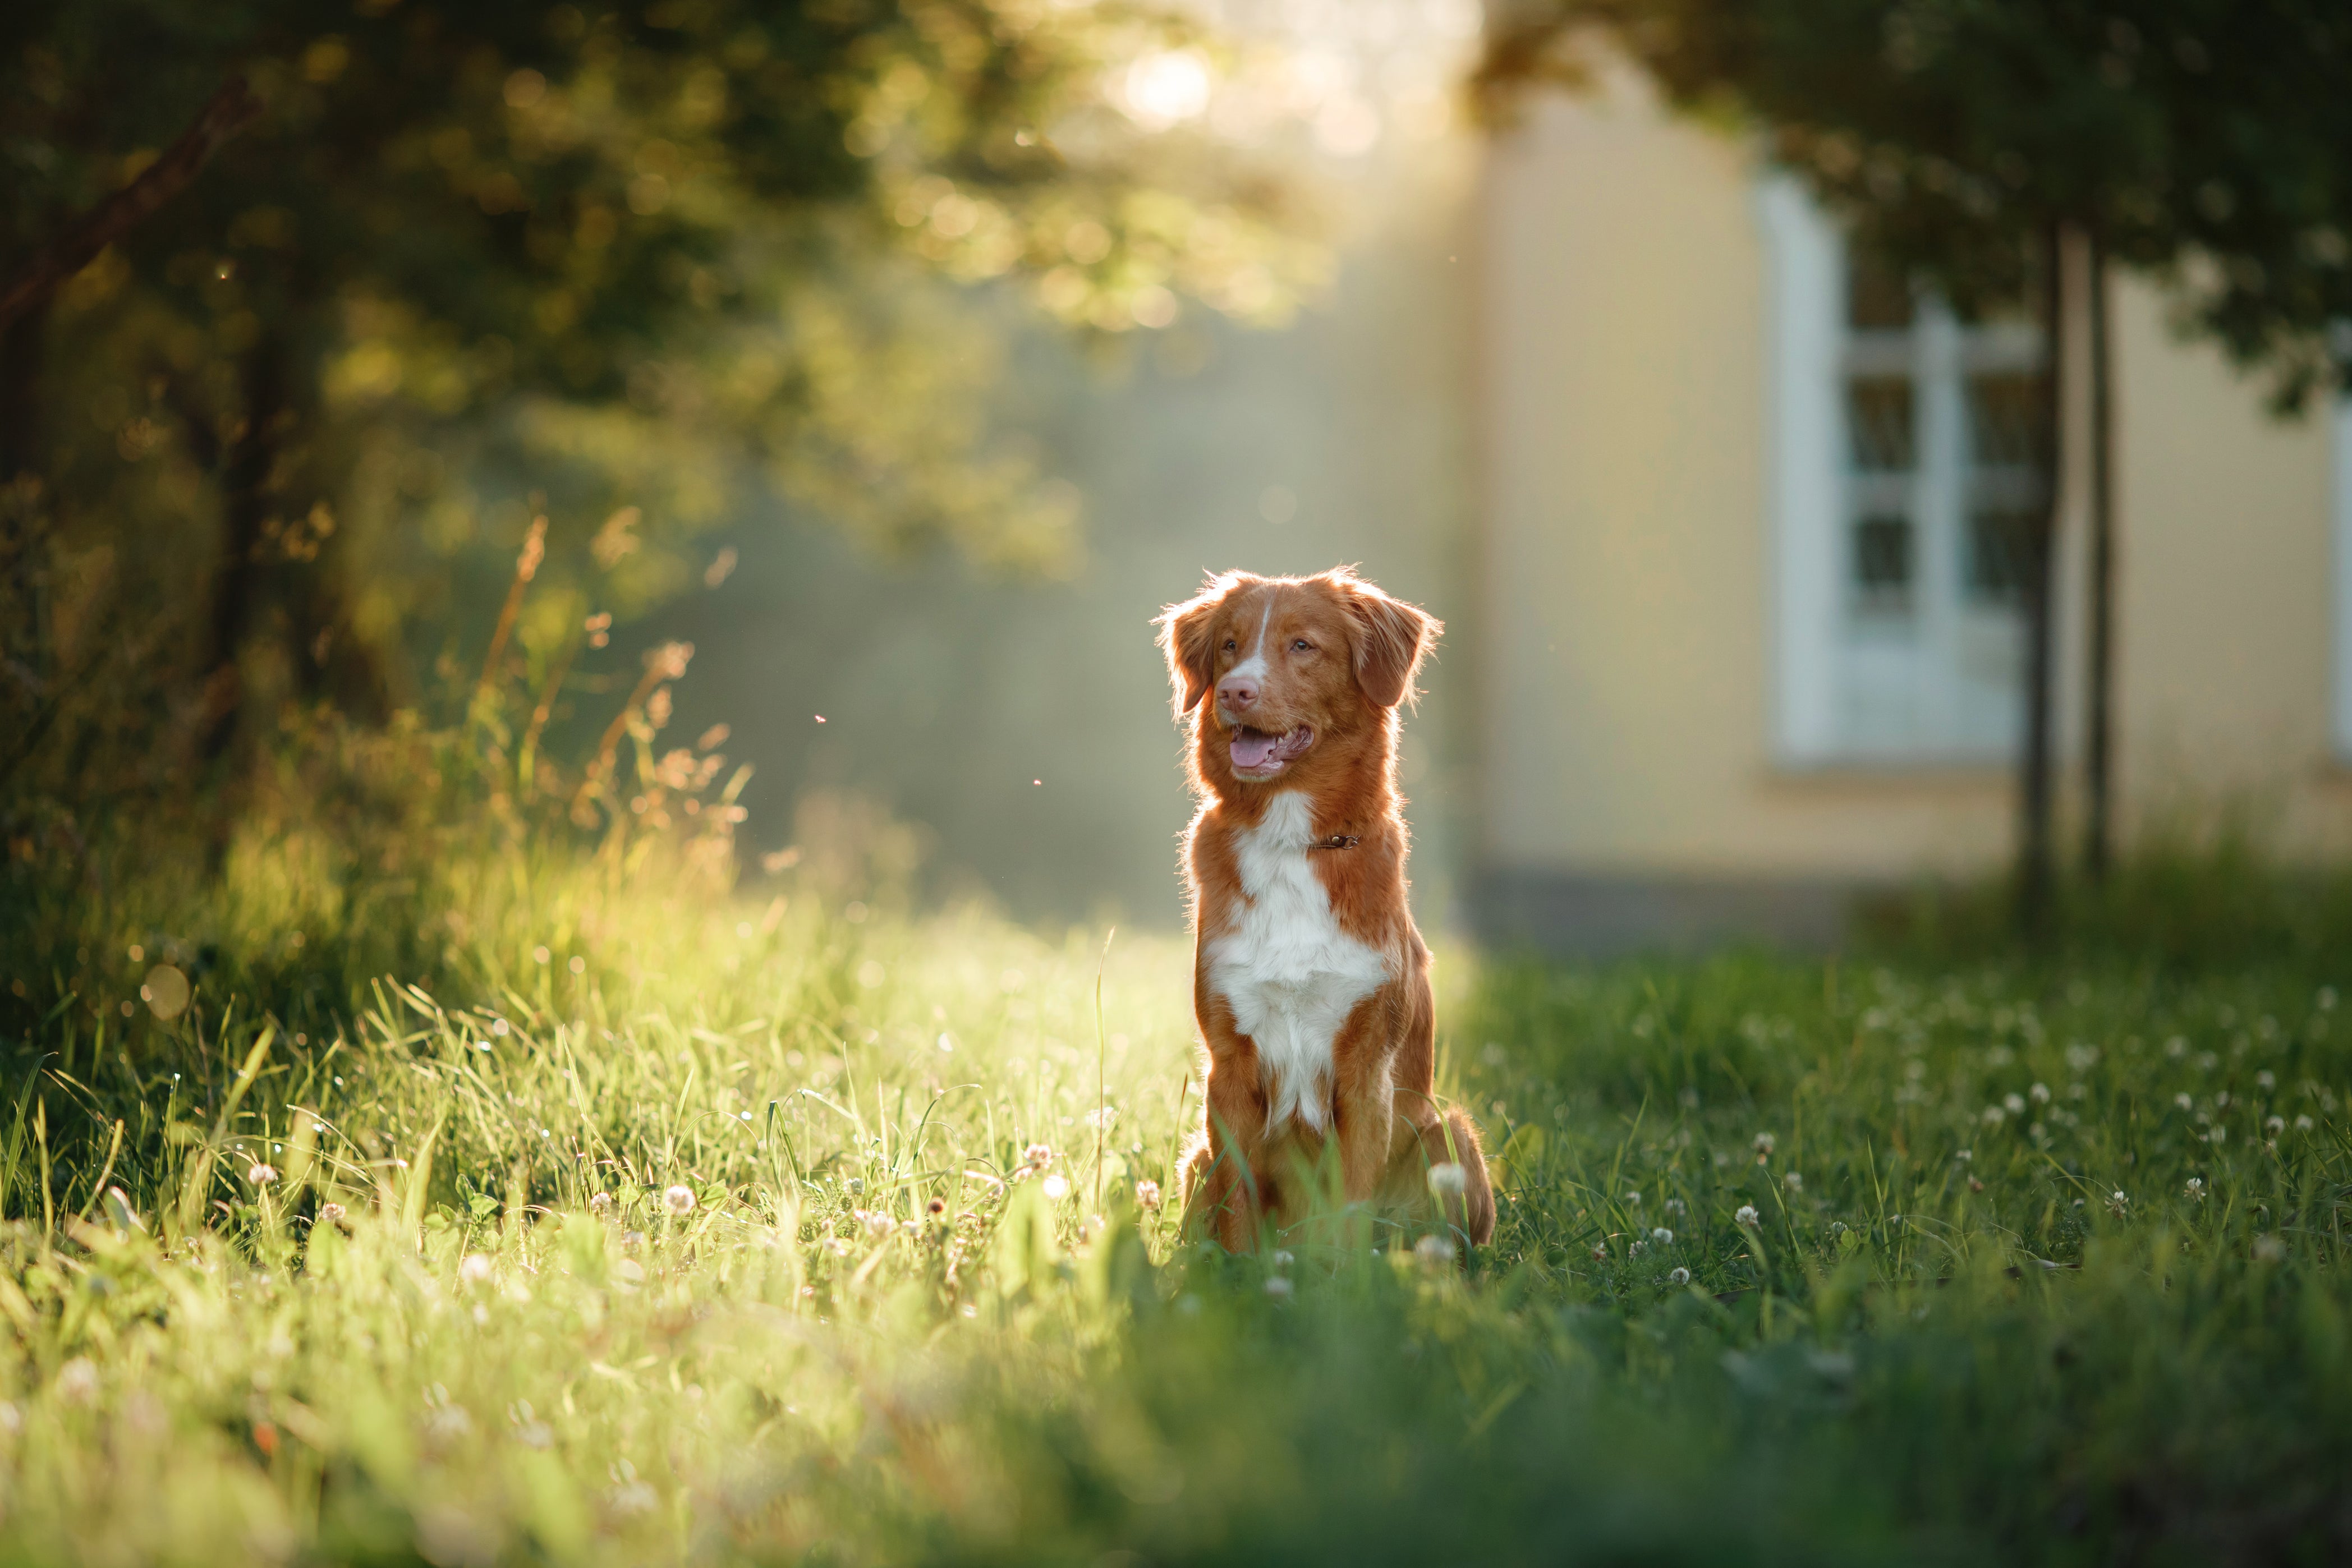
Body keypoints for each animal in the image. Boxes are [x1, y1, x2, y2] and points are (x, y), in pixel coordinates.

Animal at [1152, 564, 1496, 1250]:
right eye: (1228, 645)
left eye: (1302, 646)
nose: (1235, 691)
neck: (1292, 842)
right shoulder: (1229, 1067)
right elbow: (1237, 1208)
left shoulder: (1367, 1072)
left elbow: (1349, 1212)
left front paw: (1340, 1276)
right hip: (1194, 1156)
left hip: (1449, 1133)